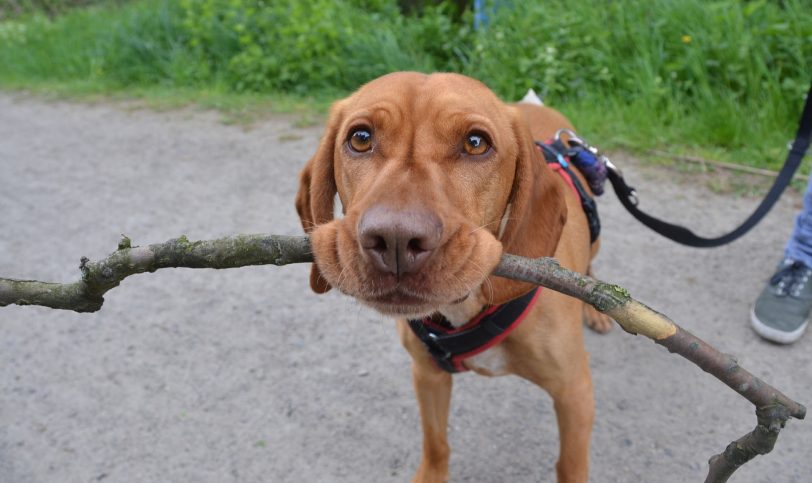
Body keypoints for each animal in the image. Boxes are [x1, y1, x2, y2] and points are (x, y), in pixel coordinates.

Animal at [296, 73, 608, 483]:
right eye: (360, 138)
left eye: (476, 143)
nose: (396, 241)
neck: (468, 309)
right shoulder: (428, 376)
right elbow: (436, 445)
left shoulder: (575, 394)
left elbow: (569, 466)